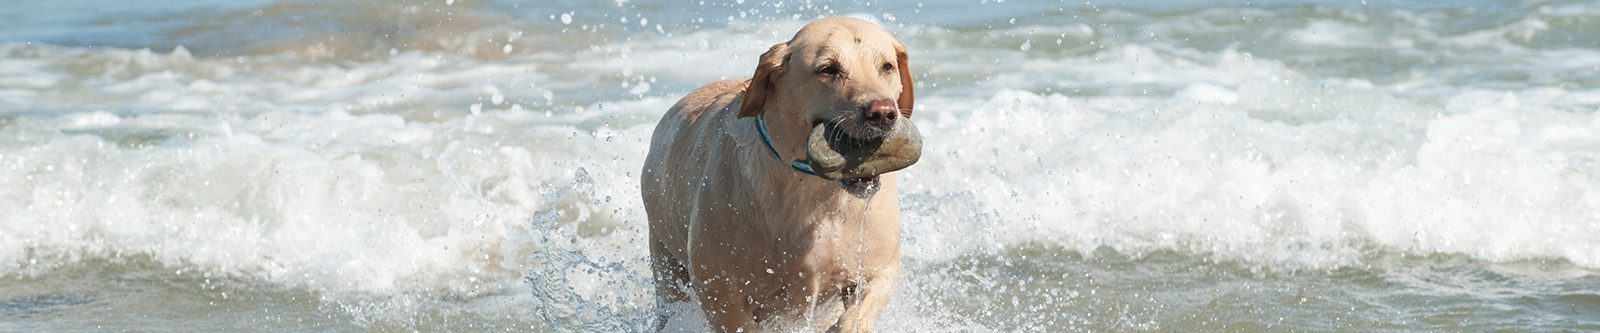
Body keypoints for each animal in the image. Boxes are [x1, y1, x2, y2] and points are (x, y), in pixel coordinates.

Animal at [633, 16, 921, 331]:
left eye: (887, 66)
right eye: (829, 69)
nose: (882, 113)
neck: (816, 193)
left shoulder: (877, 269)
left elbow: (856, 313)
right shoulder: (720, 290)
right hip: (665, 263)